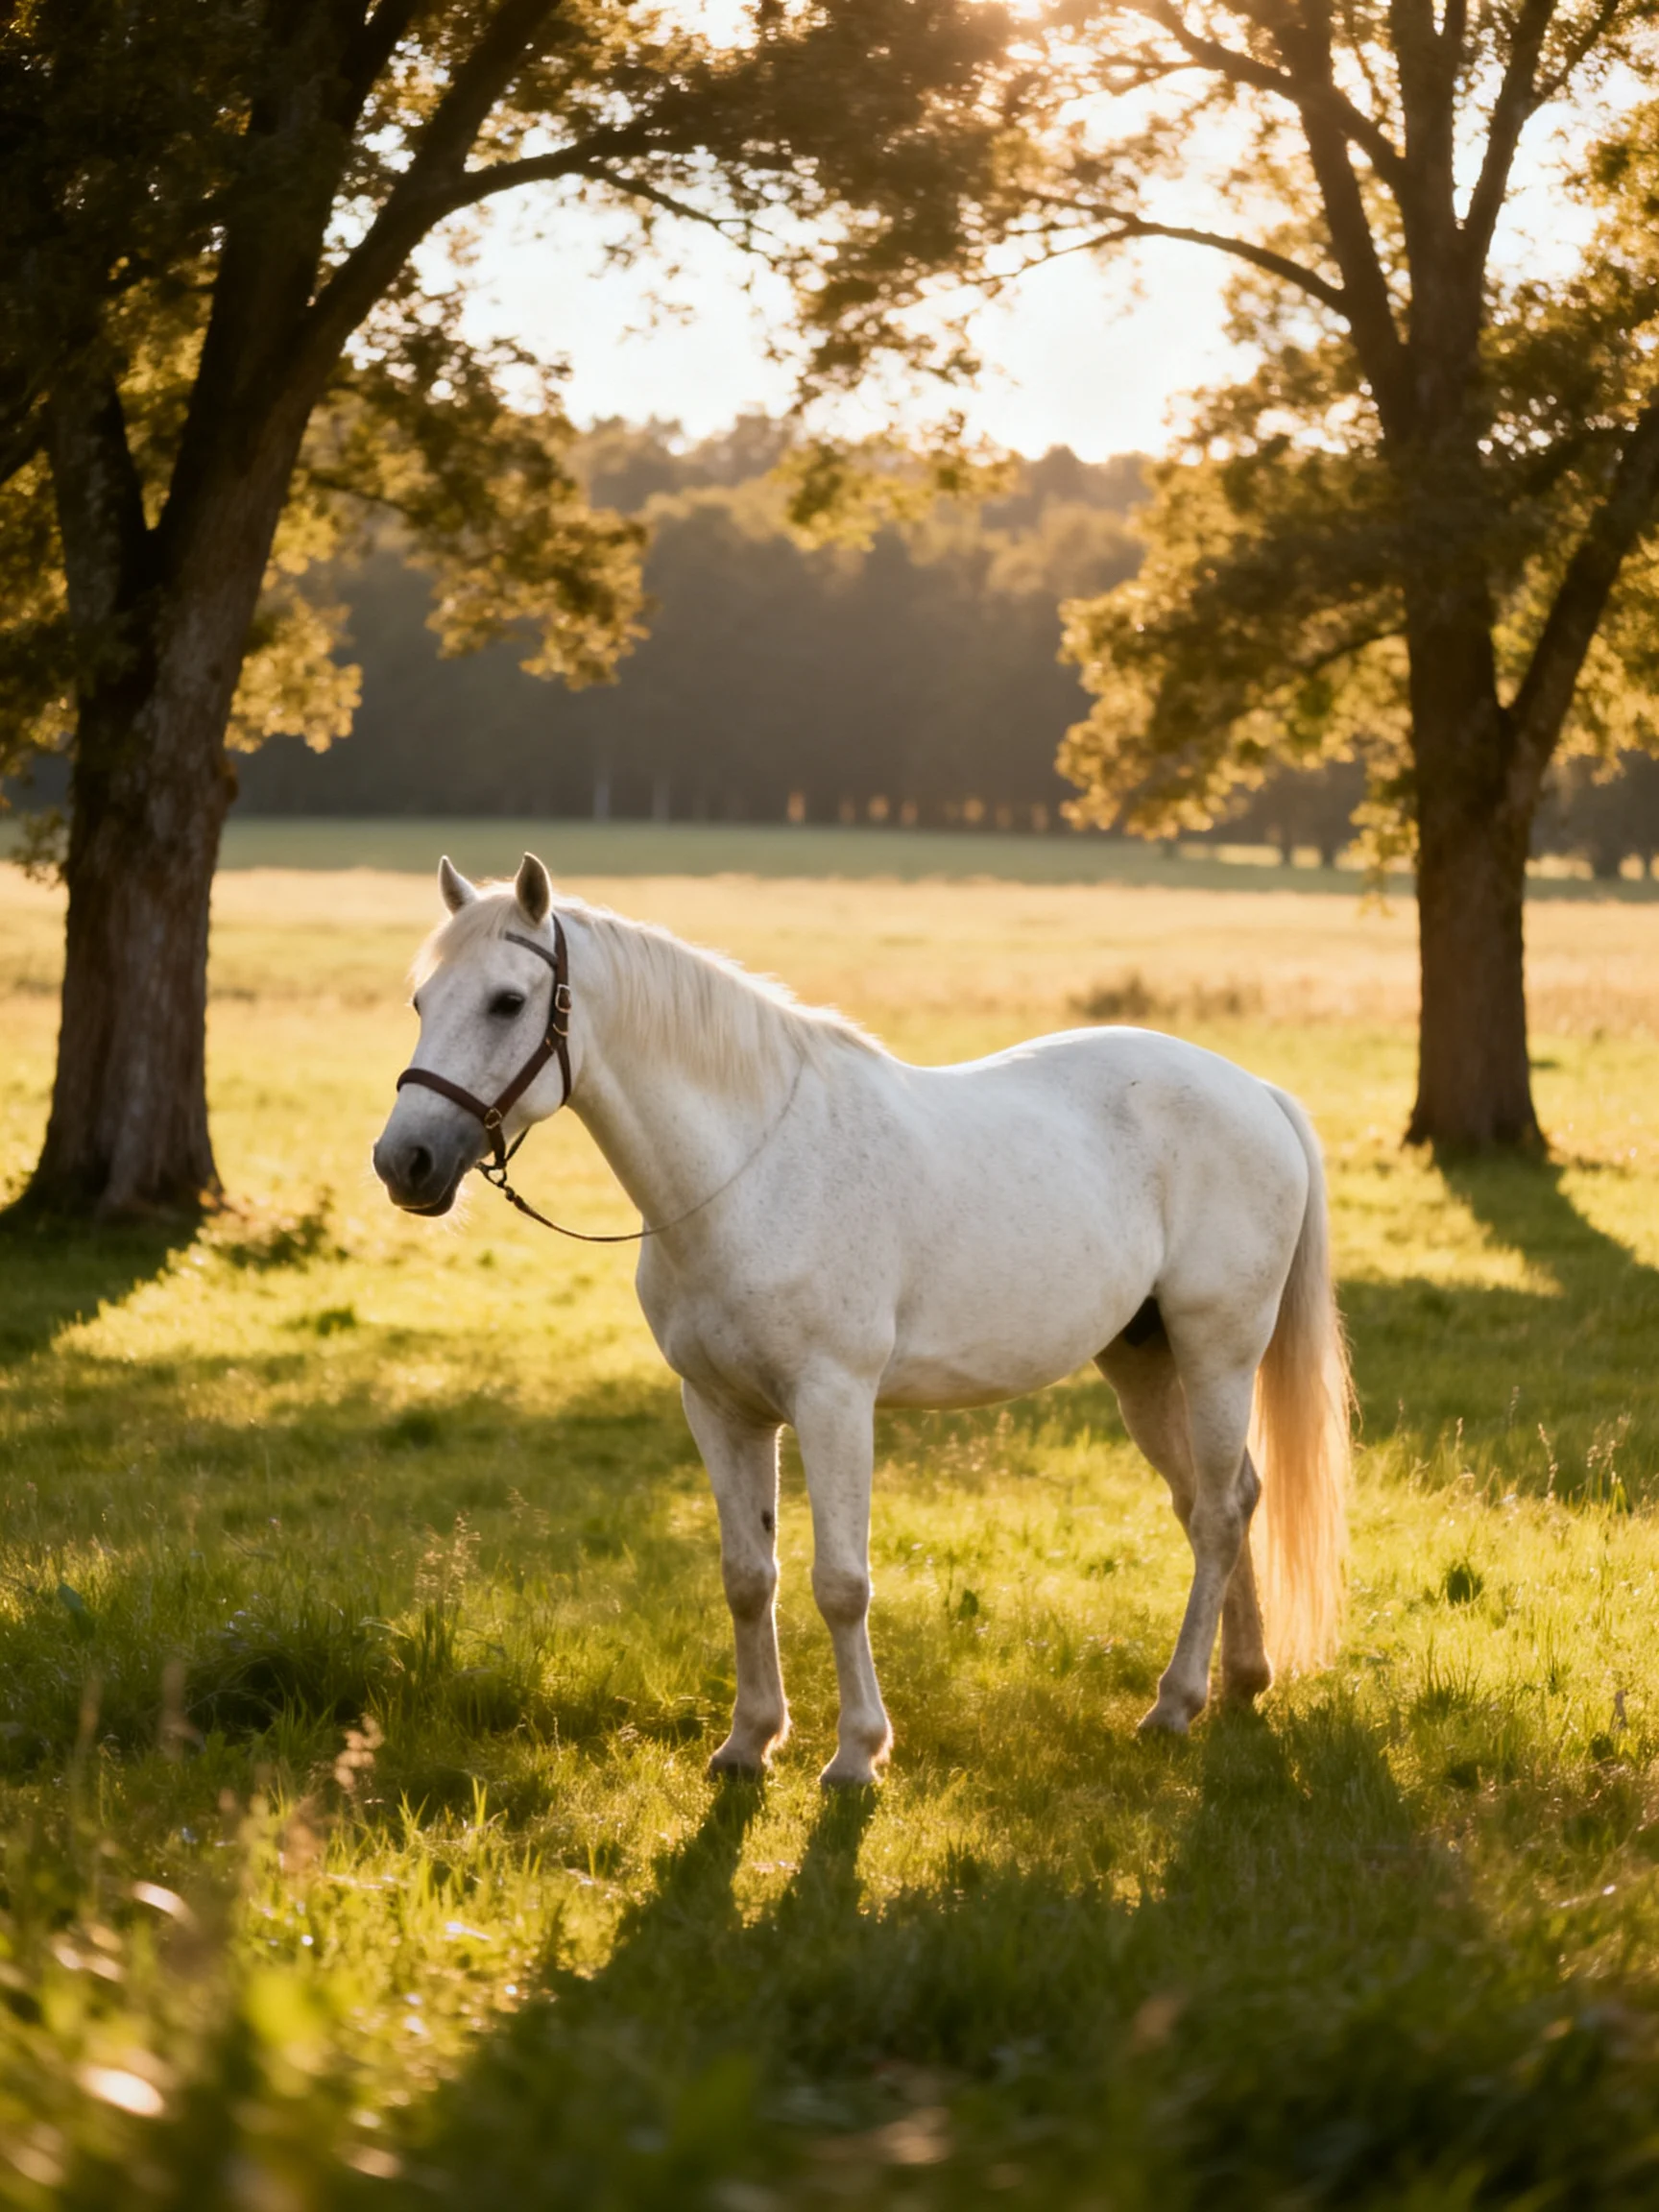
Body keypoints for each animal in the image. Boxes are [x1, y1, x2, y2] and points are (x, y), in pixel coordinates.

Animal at [372, 853, 1351, 1787]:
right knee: (1222, 1500)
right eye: (420, 999)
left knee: (1219, 1512)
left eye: (508, 1001)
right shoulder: (720, 1410)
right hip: (1144, 1363)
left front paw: (856, 1755)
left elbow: (841, 1582)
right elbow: (747, 1576)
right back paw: (1243, 1680)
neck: (747, 1172)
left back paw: (1176, 1703)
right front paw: (748, 1743)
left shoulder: (833, 1401)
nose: (404, 1161)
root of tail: (1253, 1091)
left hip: (1217, 1351)